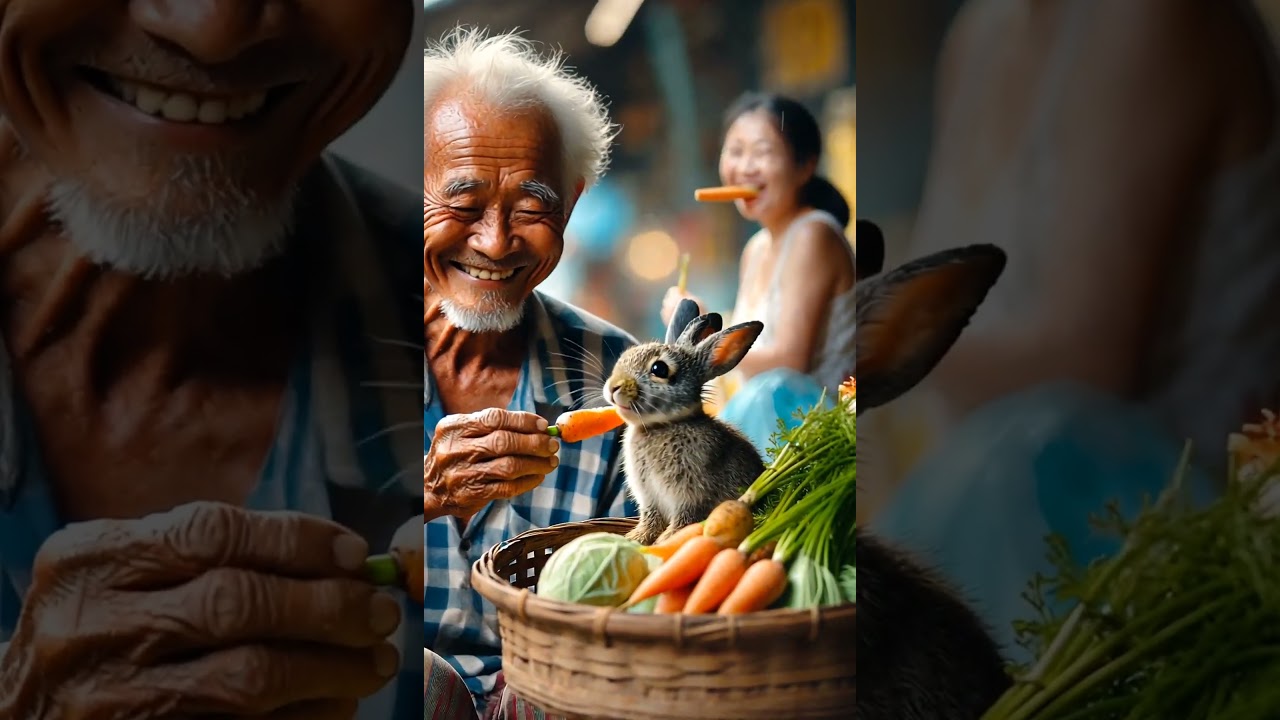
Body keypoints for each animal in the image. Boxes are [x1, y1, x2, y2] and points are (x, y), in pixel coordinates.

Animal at [604, 299, 766, 546]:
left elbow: (684, 521)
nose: (614, 387)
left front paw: (664, 542)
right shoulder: (650, 498)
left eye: (659, 369)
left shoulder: (692, 496)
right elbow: (650, 519)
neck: (662, 425)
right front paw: (636, 538)